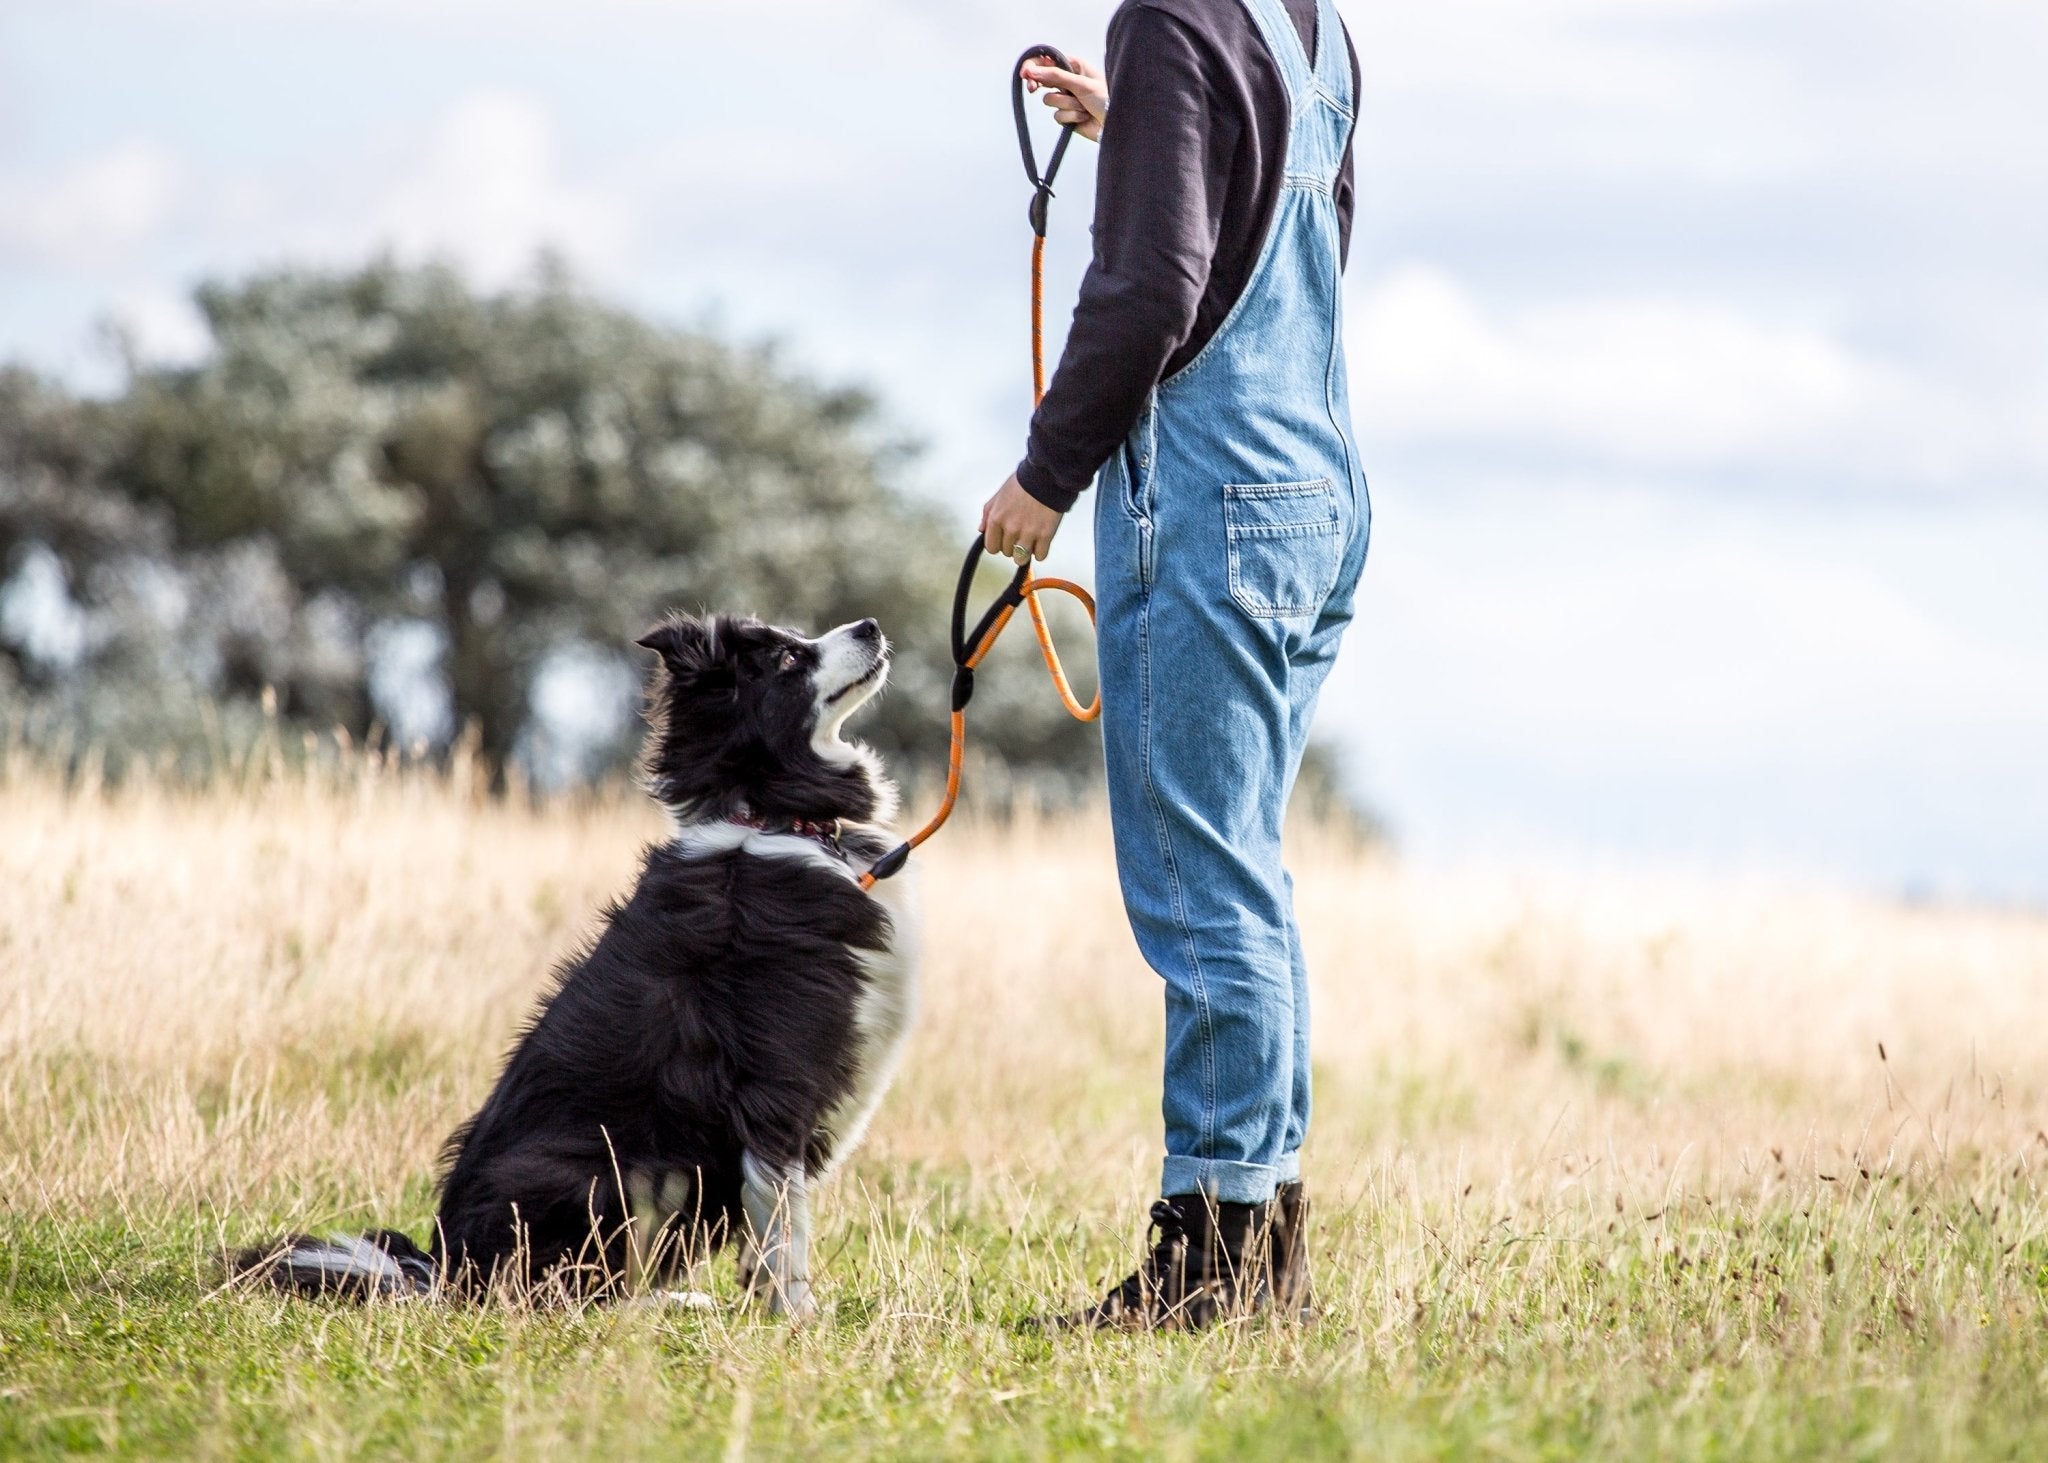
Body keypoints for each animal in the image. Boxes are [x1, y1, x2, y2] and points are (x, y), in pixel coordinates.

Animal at [235, 610, 917, 1319]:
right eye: (788, 660)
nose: (871, 624)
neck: (769, 817)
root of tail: (447, 1271)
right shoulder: (774, 1087)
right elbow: (785, 1224)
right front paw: (798, 1322)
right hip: (599, 1173)